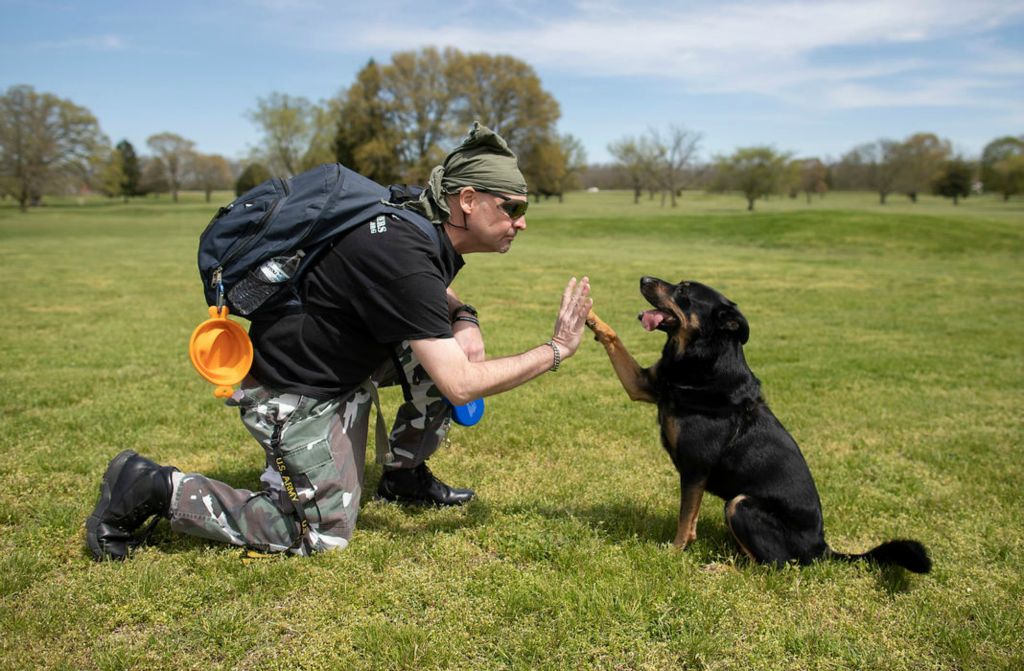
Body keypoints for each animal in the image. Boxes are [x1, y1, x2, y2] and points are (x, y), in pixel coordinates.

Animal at [585, 272, 929, 573]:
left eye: (683, 290)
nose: (642, 278)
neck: (704, 359)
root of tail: (822, 548)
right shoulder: (643, 384)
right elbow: (613, 336)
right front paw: (587, 312)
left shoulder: (695, 468)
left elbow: (685, 522)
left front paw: (672, 554)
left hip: (741, 505)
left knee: (771, 566)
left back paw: (722, 569)